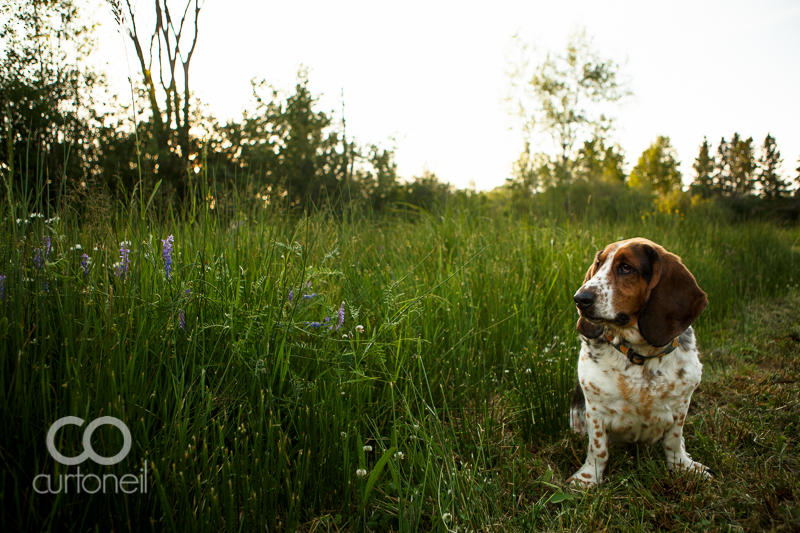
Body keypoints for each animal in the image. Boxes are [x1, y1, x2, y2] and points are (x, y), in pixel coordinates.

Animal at [568, 237, 712, 486]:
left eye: (626, 268)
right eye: (598, 264)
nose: (580, 299)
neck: (641, 356)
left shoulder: (680, 406)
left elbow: (673, 441)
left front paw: (682, 467)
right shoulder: (596, 410)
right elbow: (598, 449)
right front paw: (587, 479)